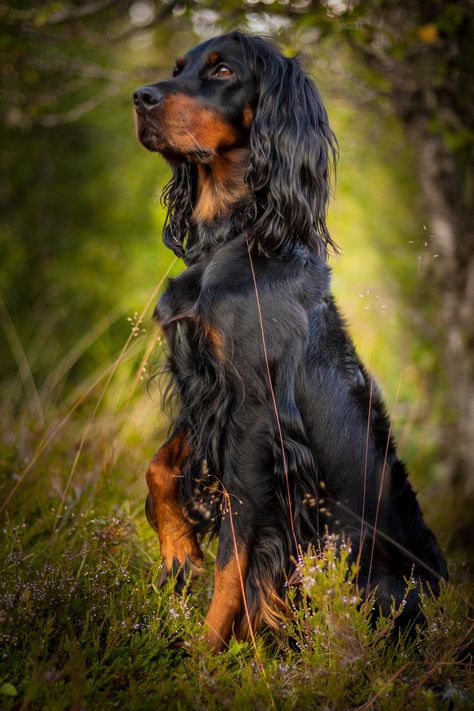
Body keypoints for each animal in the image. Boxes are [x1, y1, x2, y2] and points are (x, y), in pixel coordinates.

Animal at [134, 30, 448, 652]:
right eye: (179, 67)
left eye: (223, 70)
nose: (141, 97)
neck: (237, 238)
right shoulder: (206, 387)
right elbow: (159, 467)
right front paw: (179, 550)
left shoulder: (258, 420)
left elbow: (238, 555)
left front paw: (207, 656)